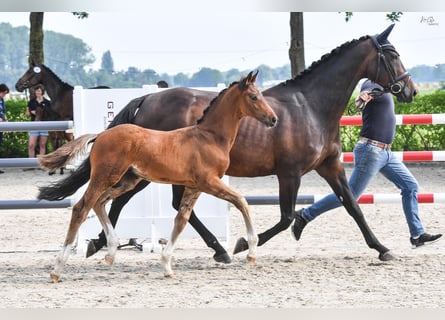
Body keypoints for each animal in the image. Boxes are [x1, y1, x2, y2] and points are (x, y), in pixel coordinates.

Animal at [41, 25, 416, 262]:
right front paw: (240, 244)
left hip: (149, 172)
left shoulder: (330, 166)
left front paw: (383, 248)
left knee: (132, 203)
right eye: (392, 54)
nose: (410, 90)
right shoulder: (290, 173)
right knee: (135, 202)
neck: (310, 105)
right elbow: (285, 217)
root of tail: (146, 99)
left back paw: (104, 243)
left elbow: (352, 205)